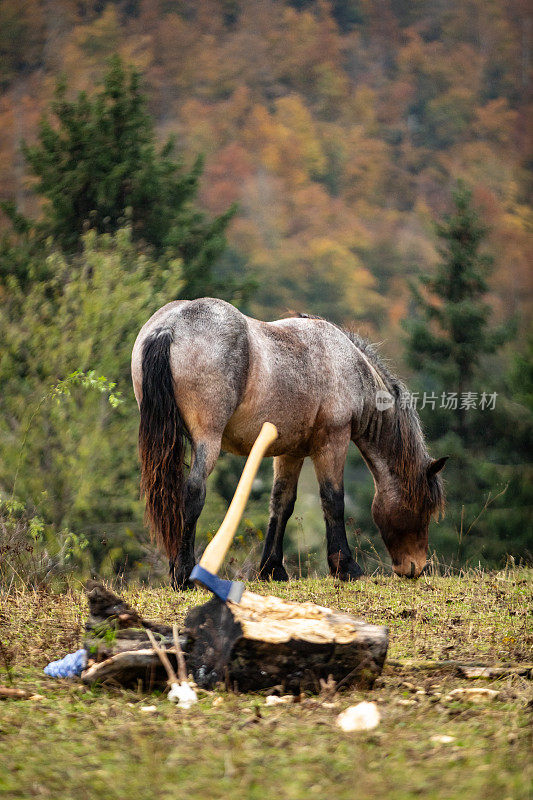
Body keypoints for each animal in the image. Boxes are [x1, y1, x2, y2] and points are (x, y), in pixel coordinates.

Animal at [131, 298, 446, 588]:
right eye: (423, 507)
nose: (415, 567)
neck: (346, 362)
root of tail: (170, 326)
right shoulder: (333, 441)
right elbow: (333, 500)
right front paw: (345, 567)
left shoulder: (290, 452)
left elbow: (281, 503)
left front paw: (272, 569)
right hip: (207, 440)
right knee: (193, 492)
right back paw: (184, 575)